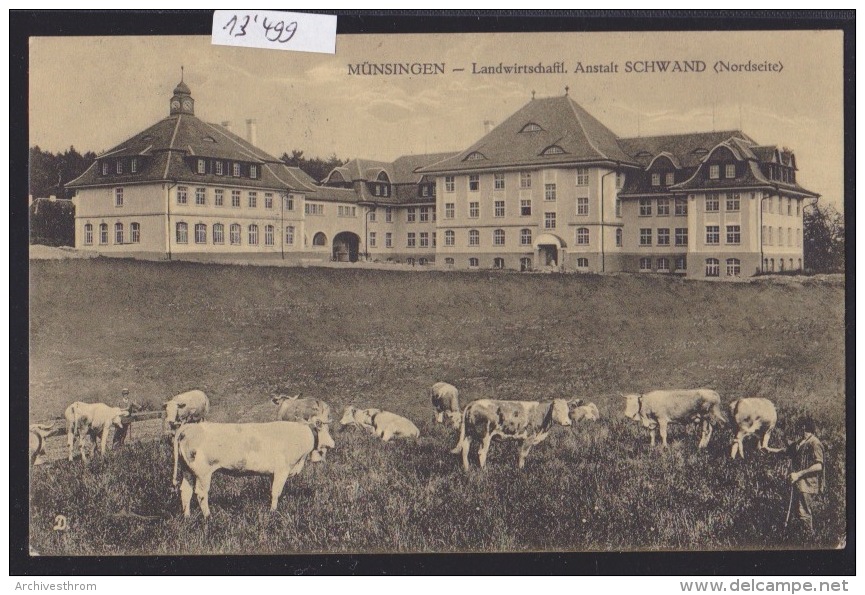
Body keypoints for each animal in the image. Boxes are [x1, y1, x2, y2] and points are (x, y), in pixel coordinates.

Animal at [172, 422, 334, 520]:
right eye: (326, 430)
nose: (333, 443)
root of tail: (189, 427)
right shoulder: (282, 470)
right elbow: (276, 492)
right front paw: (273, 512)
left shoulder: (273, 473)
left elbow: (271, 491)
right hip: (203, 472)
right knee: (201, 493)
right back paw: (208, 516)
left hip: (186, 470)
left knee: (185, 491)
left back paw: (187, 517)